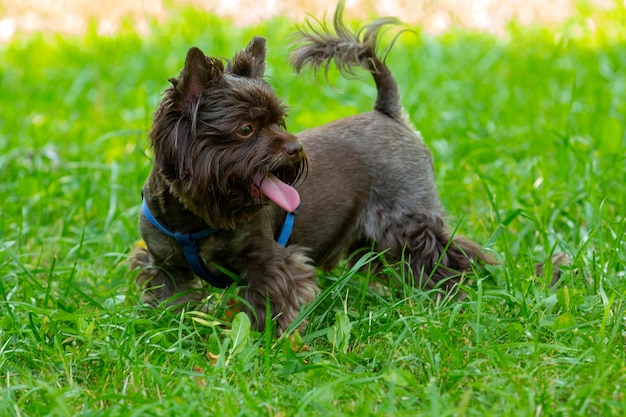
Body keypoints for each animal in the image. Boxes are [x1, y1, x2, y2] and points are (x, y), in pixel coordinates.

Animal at [130, 0, 492, 332]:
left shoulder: (268, 261)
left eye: (278, 121)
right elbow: (172, 300)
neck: (195, 217)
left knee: (442, 252)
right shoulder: (166, 266)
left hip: (408, 220)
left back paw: (453, 292)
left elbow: (268, 301)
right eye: (245, 129)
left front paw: (267, 340)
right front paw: (167, 330)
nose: (295, 148)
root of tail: (387, 113)